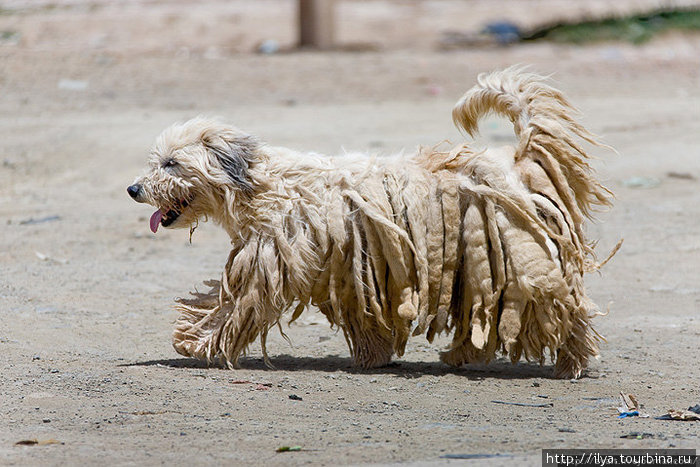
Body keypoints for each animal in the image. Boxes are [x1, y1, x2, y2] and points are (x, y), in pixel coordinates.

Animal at [130, 68, 612, 380]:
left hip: (519, 263)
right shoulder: (353, 272)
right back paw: (462, 354)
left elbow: (229, 307)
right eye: (158, 162)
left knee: (564, 309)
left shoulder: (268, 263)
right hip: (478, 270)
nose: (134, 189)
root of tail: (515, 161)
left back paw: (574, 362)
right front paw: (372, 356)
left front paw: (194, 342)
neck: (260, 182)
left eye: (171, 163)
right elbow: (364, 321)